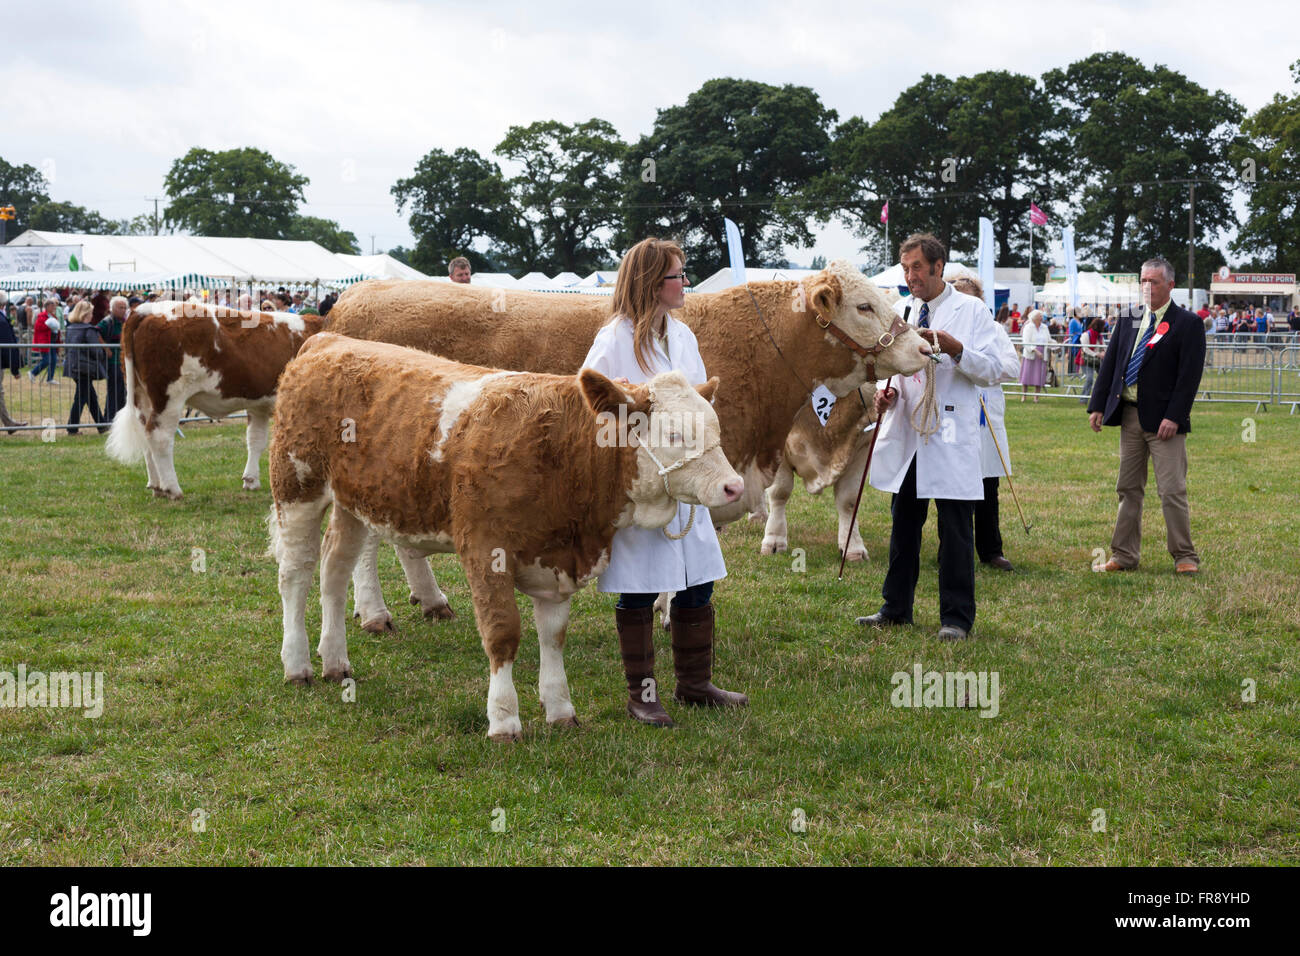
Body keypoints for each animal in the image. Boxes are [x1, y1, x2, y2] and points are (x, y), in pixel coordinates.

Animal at [106, 303, 319, 502]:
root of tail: (146, 309)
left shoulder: (258, 406)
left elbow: (255, 440)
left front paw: (251, 480)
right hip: (169, 397)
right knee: (159, 437)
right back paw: (172, 489)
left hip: (141, 396)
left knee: (145, 437)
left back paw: (156, 486)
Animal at [266, 332, 743, 743]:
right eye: (675, 433)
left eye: (717, 428)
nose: (733, 486)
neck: (561, 453)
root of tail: (328, 340)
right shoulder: (485, 550)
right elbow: (502, 633)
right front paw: (504, 719)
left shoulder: (556, 561)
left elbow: (553, 635)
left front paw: (560, 709)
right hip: (297, 487)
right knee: (296, 575)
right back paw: (297, 664)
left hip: (352, 504)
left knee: (334, 569)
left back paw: (335, 661)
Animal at [325, 257, 930, 632]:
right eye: (864, 307)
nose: (926, 347)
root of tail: (353, 297)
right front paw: (664, 609)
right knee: (365, 540)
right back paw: (374, 611)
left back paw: (429, 599)